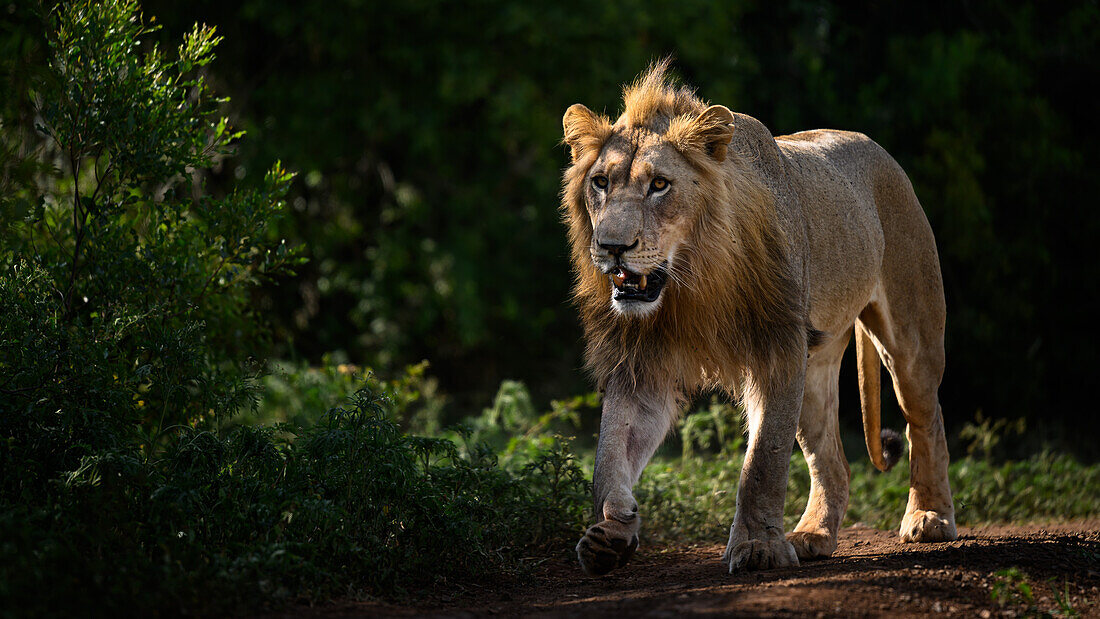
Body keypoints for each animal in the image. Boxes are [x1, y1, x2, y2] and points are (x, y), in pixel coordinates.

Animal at [558, 59, 954, 576]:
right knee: (834, 462)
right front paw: (612, 528)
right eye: (601, 183)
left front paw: (758, 547)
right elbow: (609, 452)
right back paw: (812, 535)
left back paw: (929, 517)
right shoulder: (642, 361)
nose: (611, 247)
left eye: (660, 184)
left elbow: (763, 461)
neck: (692, 282)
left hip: (910, 334)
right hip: (816, 364)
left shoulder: (779, 348)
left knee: (926, 419)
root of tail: (874, 146)